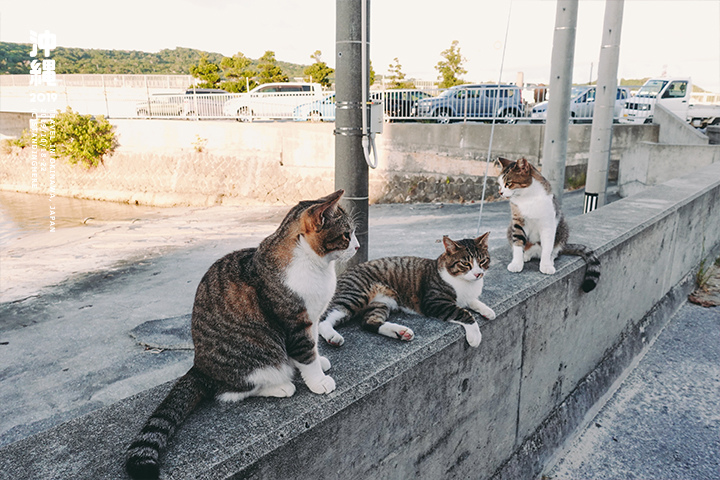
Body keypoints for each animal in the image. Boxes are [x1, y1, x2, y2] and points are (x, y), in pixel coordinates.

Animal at [126, 191, 360, 480]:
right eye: (347, 234)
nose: (358, 247)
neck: (314, 265)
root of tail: (199, 367)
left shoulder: (312, 318)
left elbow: (313, 345)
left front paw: (320, 360)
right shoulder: (295, 323)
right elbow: (305, 353)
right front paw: (318, 380)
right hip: (257, 358)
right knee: (231, 392)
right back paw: (281, 386)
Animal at [320, 233, 496, 348]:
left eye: (482, 261)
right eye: (465, 264)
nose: (478, 273)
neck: (466, 283)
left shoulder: (466, 296)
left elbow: (473, 301)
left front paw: (487, 310)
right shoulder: (434, 302)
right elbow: (463, 312)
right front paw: (474, 335)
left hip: (379, 303)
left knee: (368, 322)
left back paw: (400, 332)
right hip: (355, 294)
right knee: (324, 319)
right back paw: (333, 336)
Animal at [498, 158, 600, 292]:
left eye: (508, 183)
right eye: (499, 184)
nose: (500, 192)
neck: (527, 198)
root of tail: (535, 252)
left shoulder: (548, 224)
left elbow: (547, 247)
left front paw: (546, 265)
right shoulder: (518, 222)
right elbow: (518, 243)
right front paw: (517, 263)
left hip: (563, 228)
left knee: (555, 250)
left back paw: (550, 259)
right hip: (510, 229)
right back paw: (526, 255)